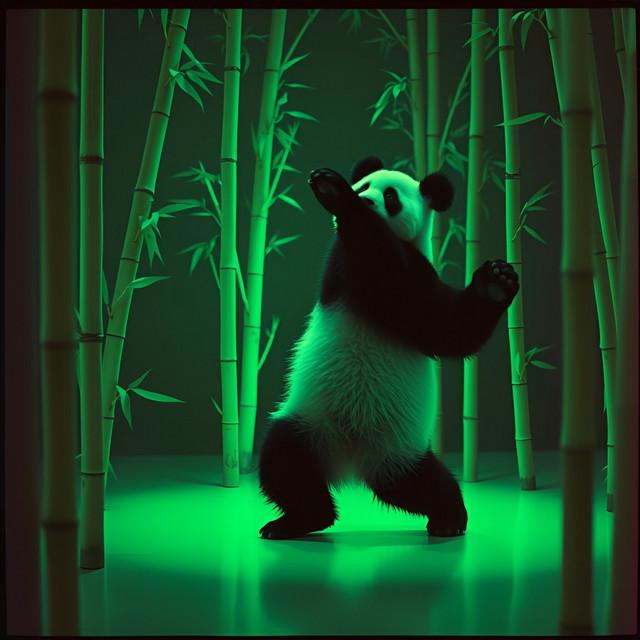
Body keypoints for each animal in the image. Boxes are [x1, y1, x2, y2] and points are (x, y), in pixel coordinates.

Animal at [258, 156, 519, 540]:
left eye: (392, 197)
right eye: (365, 185)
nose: (366, 201)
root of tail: (349, 459)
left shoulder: (411, 268)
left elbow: (440, 324)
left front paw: (496, 282)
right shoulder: (342, 262)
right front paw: (335, 191)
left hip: (397, 445)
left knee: (420, 483)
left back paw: (449, 519)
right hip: (310, 423)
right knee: (285, 461)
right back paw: (299, 520)